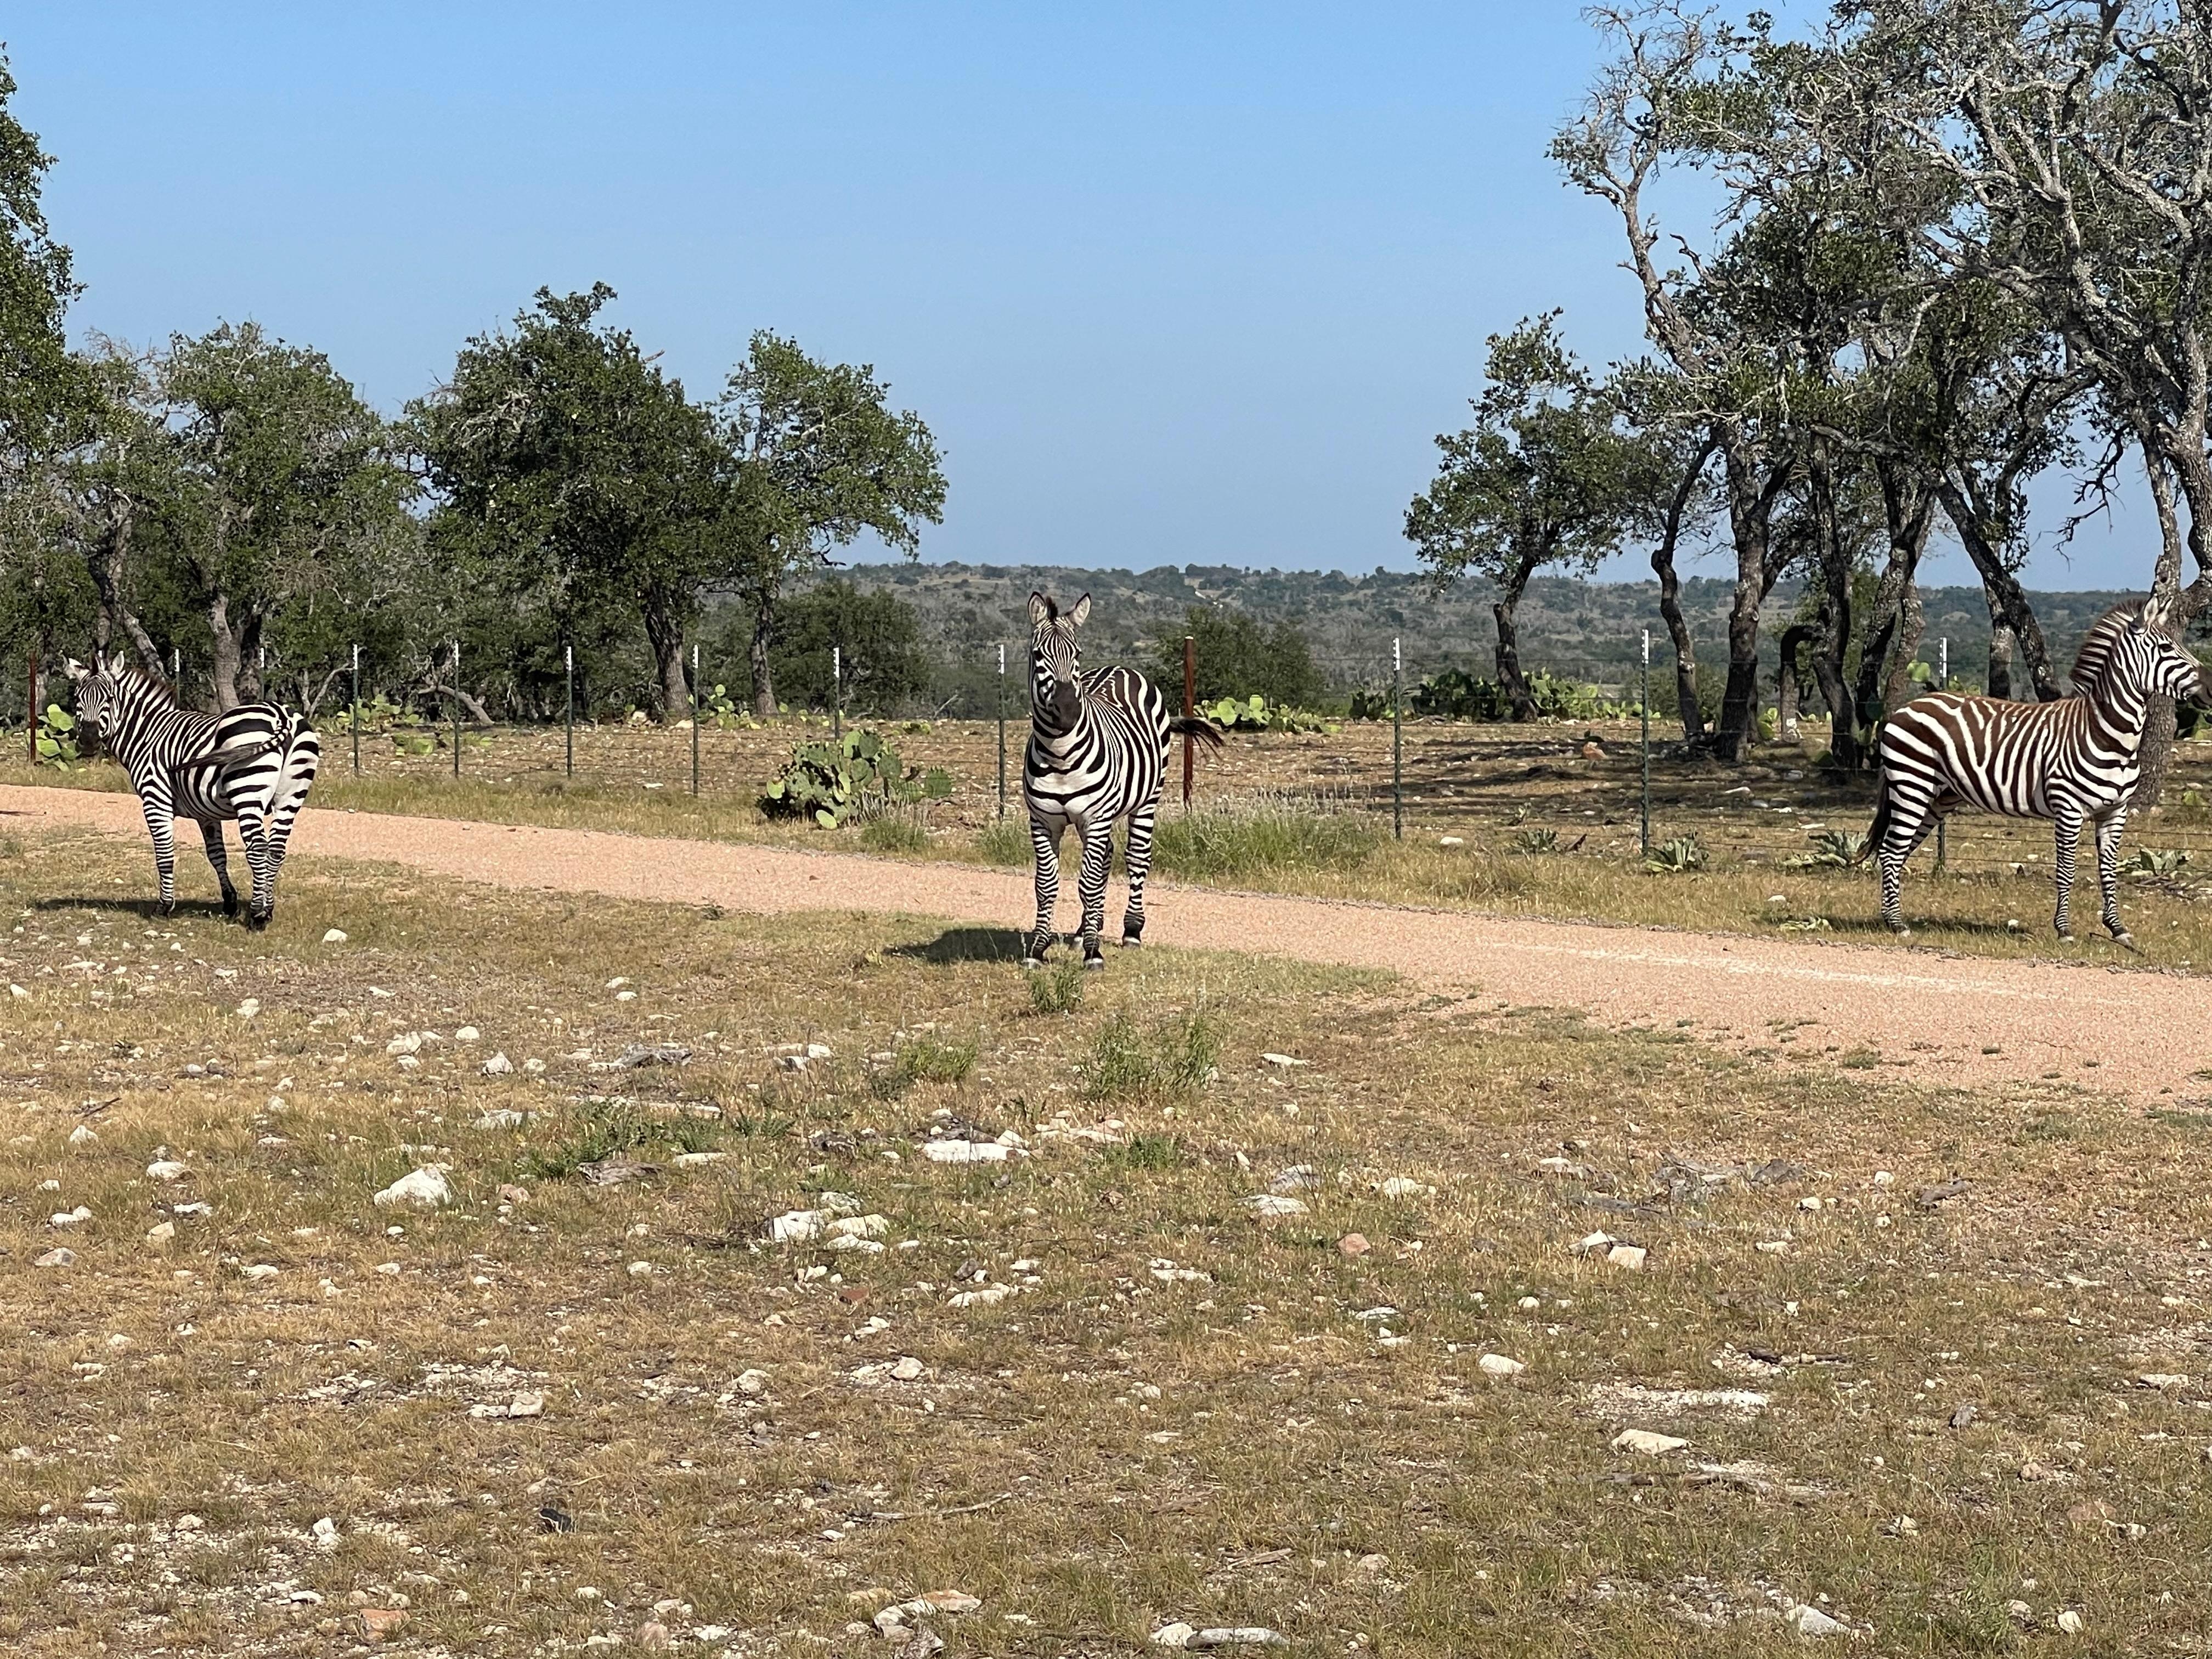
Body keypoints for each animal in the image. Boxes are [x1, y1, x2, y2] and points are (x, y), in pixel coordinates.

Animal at [64, 654, 323, 930]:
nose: (89, 740)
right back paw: (269, 909)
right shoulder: (205, 812)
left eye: (110, 698)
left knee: (257, 849)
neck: (147, 735)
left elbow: (164, 854)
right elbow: (217, 855)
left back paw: (257, 916)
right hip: (290, 797)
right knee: (276, 850)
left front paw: (164, 907)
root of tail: (281, 714)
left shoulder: (156, 800)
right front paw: (229, 903)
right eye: (78, 698)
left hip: (248, 792)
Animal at [1022, 592, 1222, 968]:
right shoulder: (1042, 821)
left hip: (1146, 801)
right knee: (1105, 861)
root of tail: (1123, 668)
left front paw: (1094, 952)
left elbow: (1087, 883)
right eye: (1038, 654)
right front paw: (1039, 949)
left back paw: (1131, 931)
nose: (1068, 711)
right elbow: (1046, 884)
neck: (1058, 753)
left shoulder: (1095, 818)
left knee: (1136, 858)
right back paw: (1084, 930)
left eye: (1077, 654)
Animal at [1866, 597, 2205, 944]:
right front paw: (2064, 930)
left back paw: (1891, 918)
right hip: (1912, 784)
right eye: (2166, 648)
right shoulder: (2069, 809)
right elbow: (2066, 871)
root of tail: (1903, 709)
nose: (2210, 688)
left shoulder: (2115, 811)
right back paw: (1897, 924)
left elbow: (2109, 871)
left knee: (1898, 851)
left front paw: (2117, 929)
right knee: (1891, 852)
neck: (2106, 734)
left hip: (1938, 797)